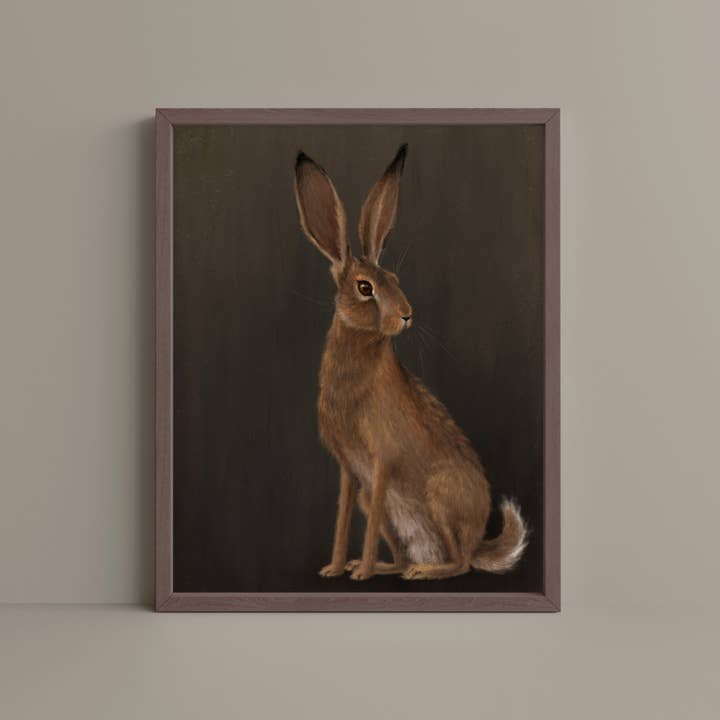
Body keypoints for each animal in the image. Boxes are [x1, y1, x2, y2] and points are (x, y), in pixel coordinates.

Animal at [293, 144, 527, 581]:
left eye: (395, 279)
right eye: (365, 287)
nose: (406, 315)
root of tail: (477, 541)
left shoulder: (382, 460)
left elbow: (365, 523)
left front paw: (359, 574)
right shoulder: (351, 471)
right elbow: (343, 517)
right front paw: (336, 568)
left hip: (439, 495)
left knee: (460, 564)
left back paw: (423, 572)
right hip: (386, 505)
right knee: (404, 550)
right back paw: (389, 567)